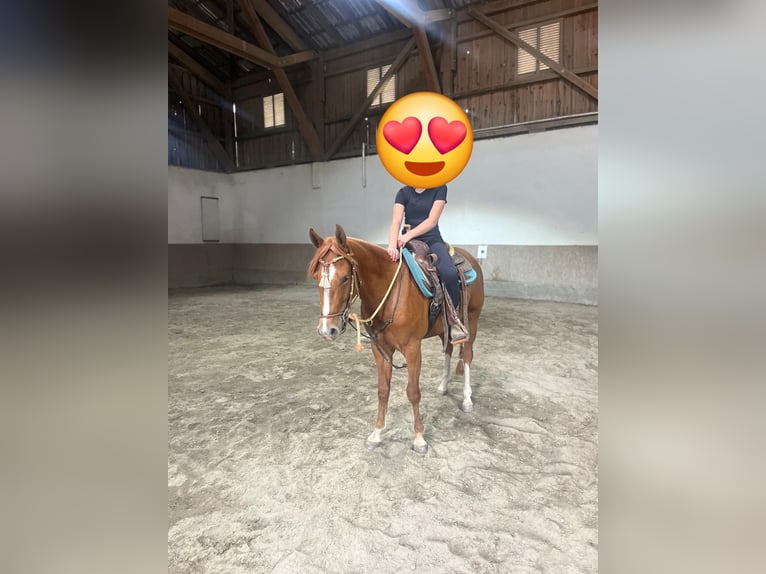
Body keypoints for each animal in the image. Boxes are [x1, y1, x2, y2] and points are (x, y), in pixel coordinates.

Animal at [308, 224, 485, 454]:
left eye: (345, 278)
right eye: (316, 277)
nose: (327, 330)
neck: (388, 294)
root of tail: (471, 259)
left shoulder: (412, 349)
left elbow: (413, 392)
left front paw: (419, 438)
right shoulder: (380, 349)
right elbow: (383, 391)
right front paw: (376, 434)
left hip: (471, 320)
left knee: (468, 356)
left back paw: (467, 399)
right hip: (444, 329)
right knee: (448, 349)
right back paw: (443, 386)